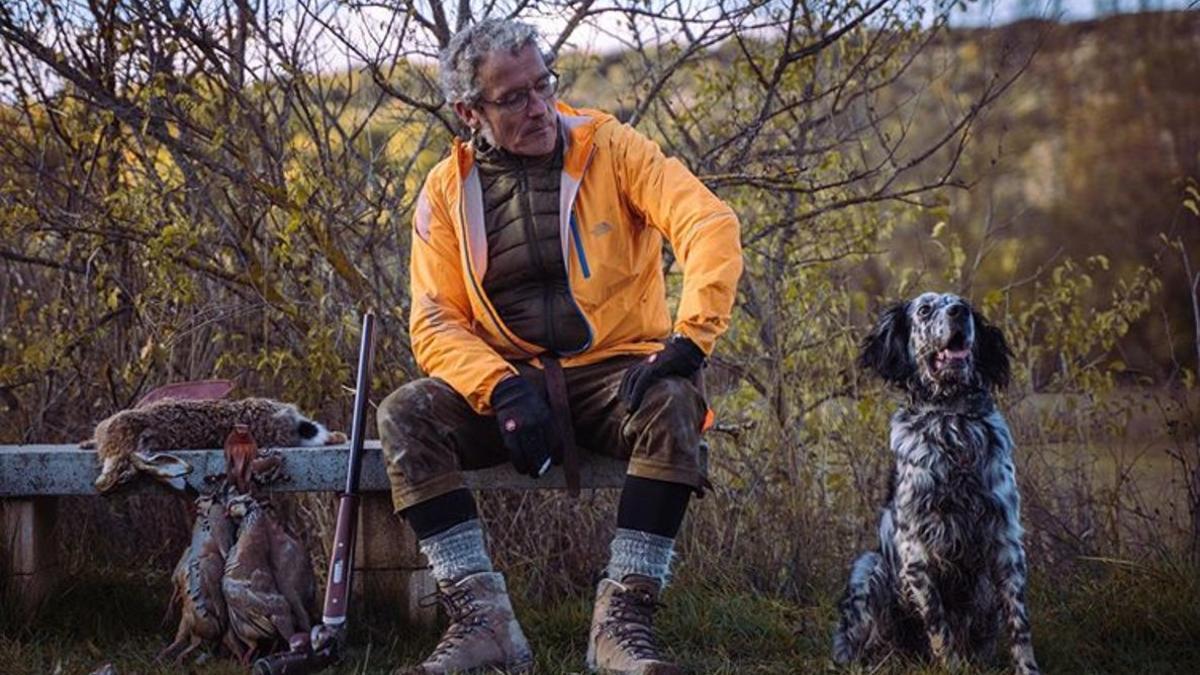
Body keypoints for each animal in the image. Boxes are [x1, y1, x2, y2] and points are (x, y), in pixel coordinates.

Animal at [835, 291, 1041, 672]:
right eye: (925, 310)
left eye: (964, 304)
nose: (959, 312)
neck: (953, 422)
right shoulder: (916, 552)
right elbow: (937, 624)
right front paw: (954, 665)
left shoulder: (1006, 542)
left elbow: (1019, 625)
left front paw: (1027, 668)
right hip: (868, 568)